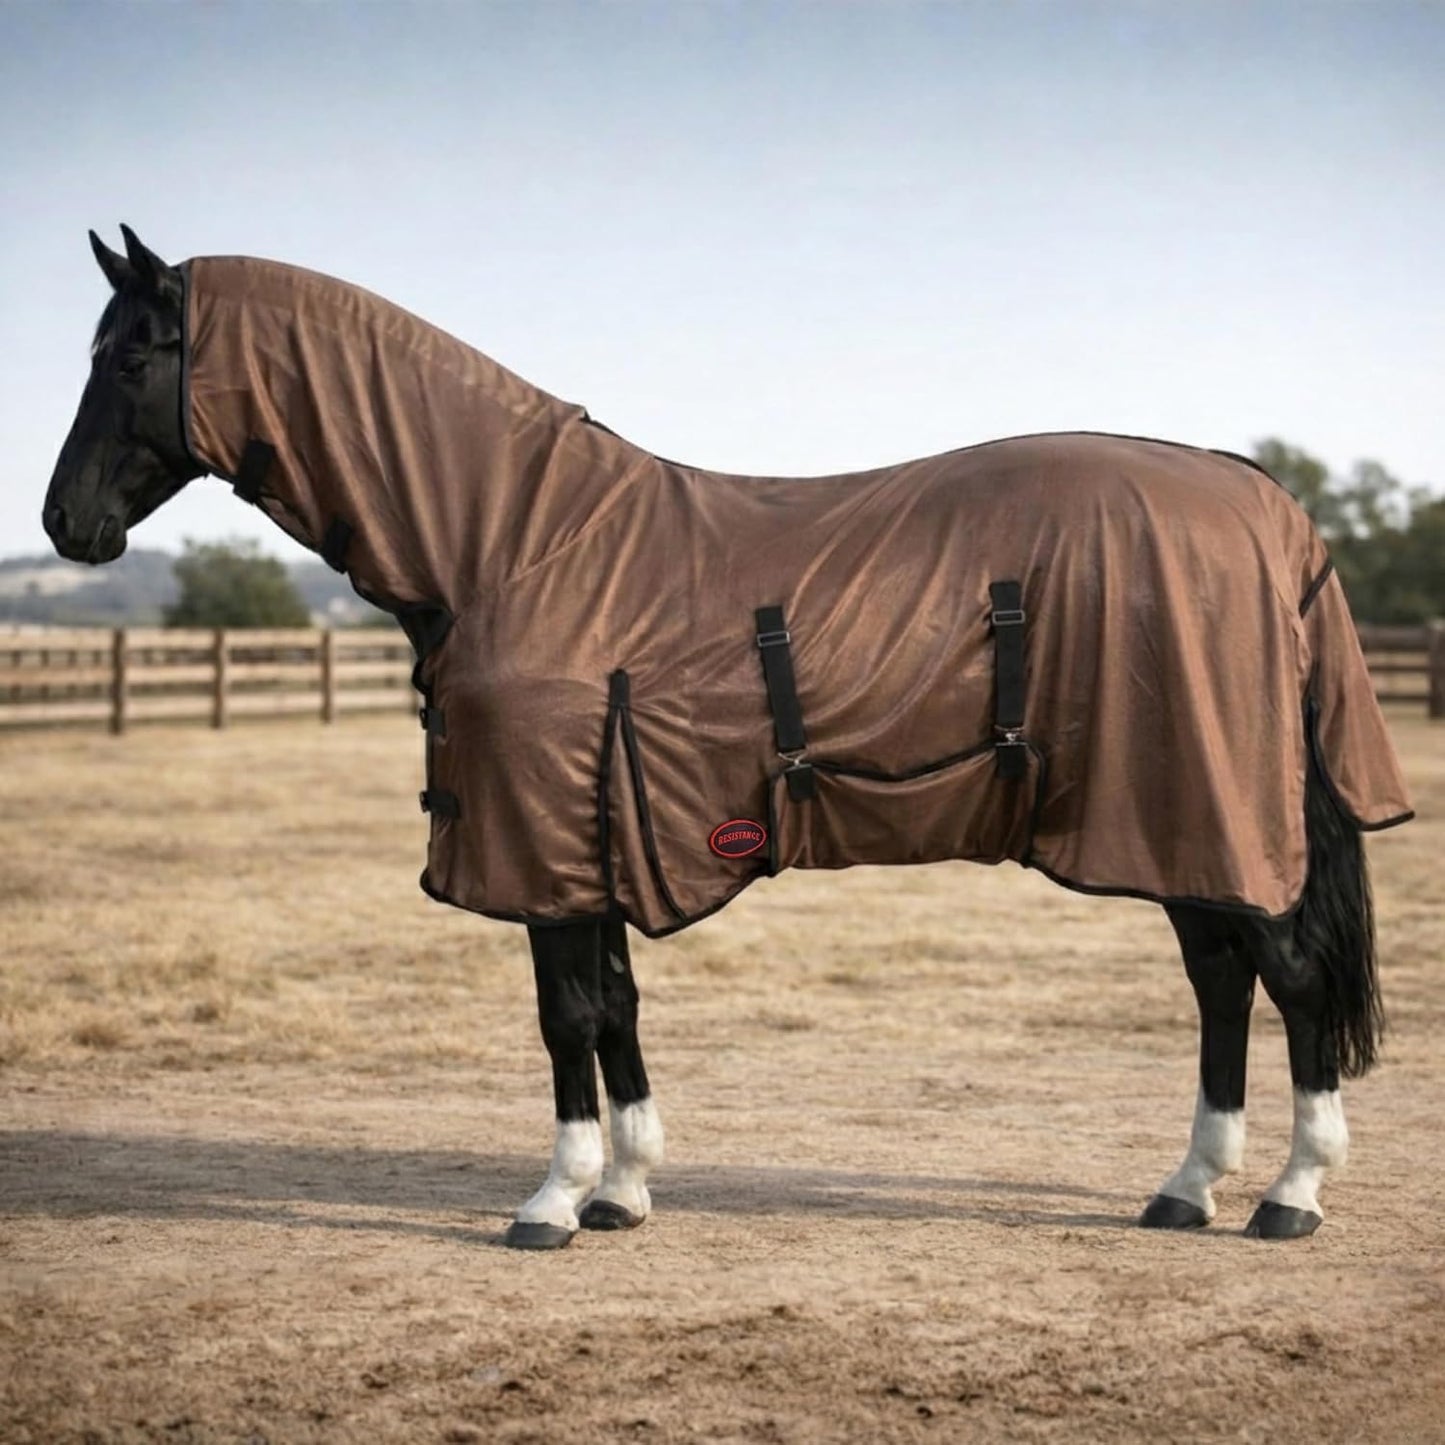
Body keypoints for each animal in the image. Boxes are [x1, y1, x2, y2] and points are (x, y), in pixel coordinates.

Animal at [43, 226, 1413, 1248]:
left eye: (131, 353)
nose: (64, 525)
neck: (512, 538)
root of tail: (1260, 500)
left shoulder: (546, 841)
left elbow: (566, 1015)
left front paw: (552, 1200)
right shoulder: (591, 834)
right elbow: (614, 1005)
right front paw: (623, 1189)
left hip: (1209, 816)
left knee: (1288, 977)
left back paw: (1289, 1194)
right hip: (1176, 826)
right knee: (1222, 981)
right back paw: (1187, 1186)